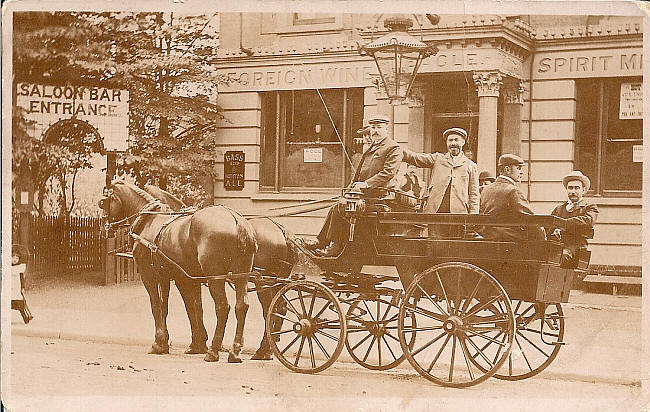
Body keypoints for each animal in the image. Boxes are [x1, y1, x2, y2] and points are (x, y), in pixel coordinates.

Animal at [98, 182, 256, 362]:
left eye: (103, 202)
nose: (103, 228)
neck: (149, 221)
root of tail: (236, 219)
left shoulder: (150, 276)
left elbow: (157, 306)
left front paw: (158, 343)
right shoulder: (180, 278)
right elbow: (189, 308)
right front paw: (194, 344)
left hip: (215, 277)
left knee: (222, 307)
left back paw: (213, 350)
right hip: (241, 275)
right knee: (241, 306)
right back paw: (235, 351)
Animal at [143, 184, 294, 360]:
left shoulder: (172, 278)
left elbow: (169, 307)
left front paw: (163, 343)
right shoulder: (188, 278)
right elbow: (195, 307)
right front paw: (197, 343)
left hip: (254, 281)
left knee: (259, 310)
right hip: (263, 279)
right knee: (271, 308)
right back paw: (260, 348)